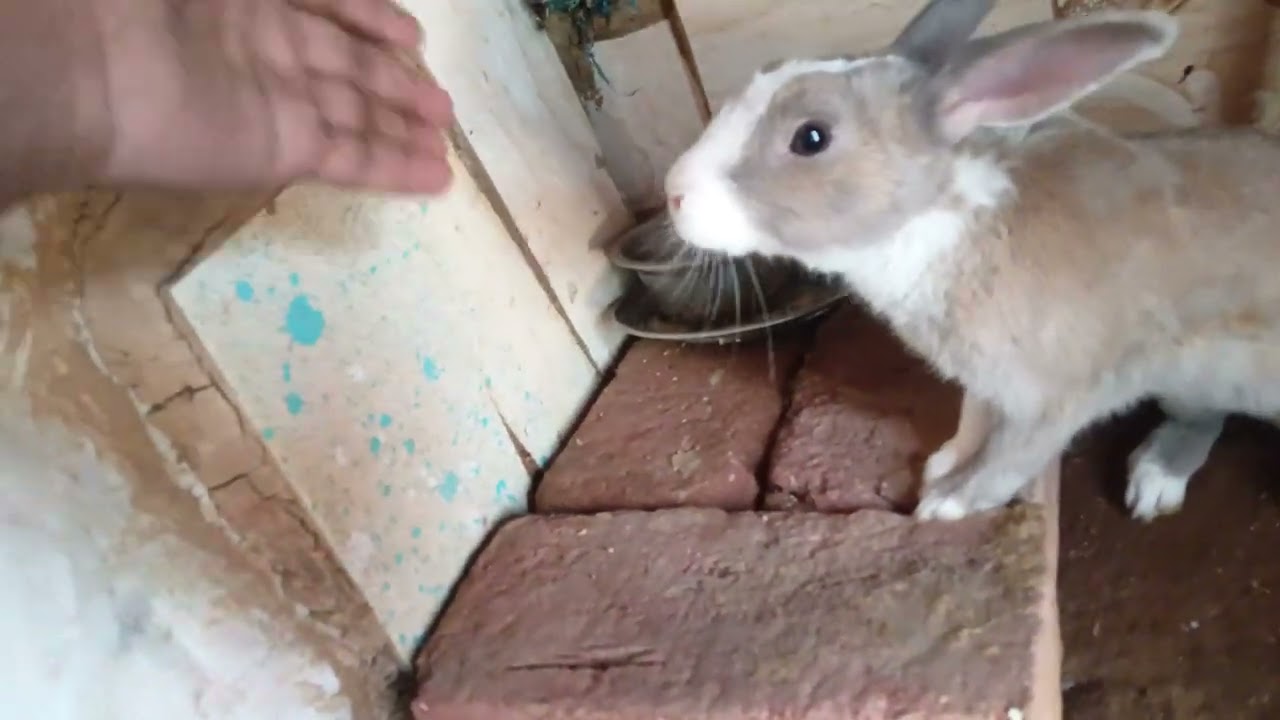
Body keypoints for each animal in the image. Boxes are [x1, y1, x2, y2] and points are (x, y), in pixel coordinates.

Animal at [662, 0, 1280, 522]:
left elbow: (1010, 457)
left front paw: (947, 504)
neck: (936, 220)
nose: (673, 193)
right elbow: (973, 421)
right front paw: (945, 462)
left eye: (811, 138)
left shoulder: (1055, 399)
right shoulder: (986, 383)